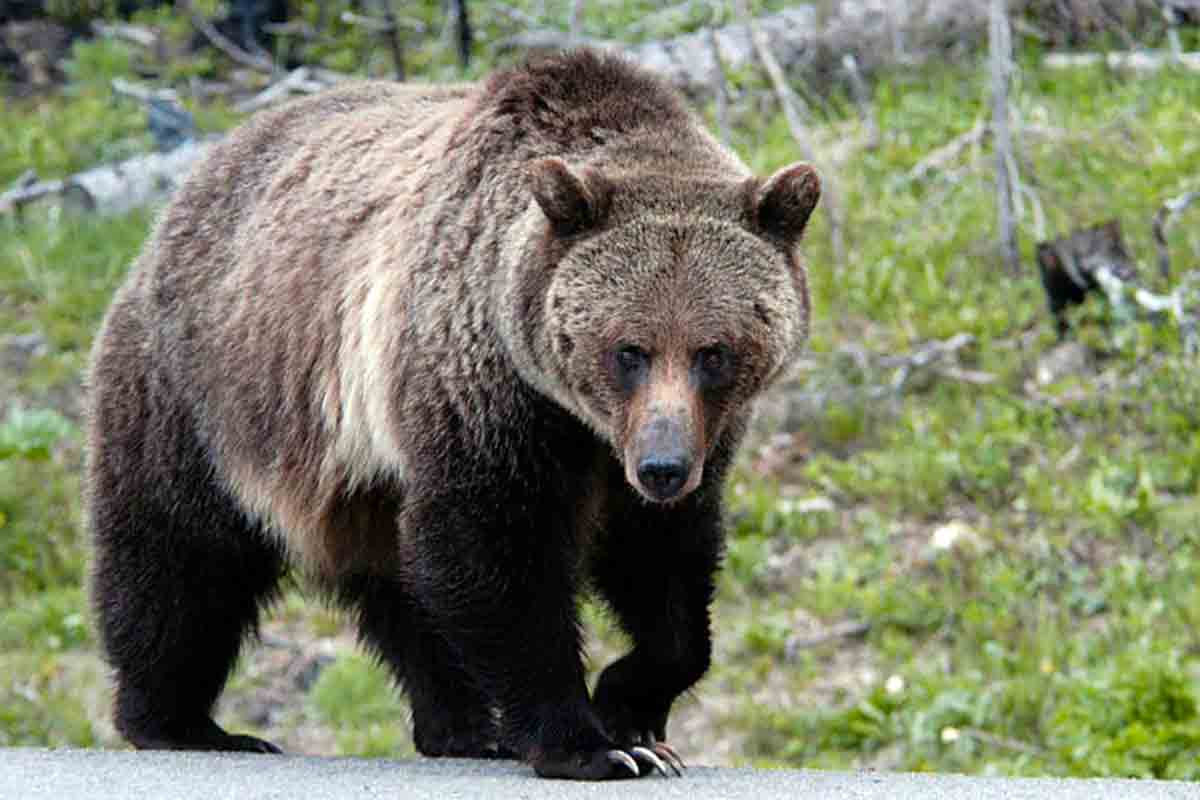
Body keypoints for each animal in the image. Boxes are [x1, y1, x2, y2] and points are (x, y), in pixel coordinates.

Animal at [85, 50, 819, 780]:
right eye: (628, 350)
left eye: (713, 352)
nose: (662, 467)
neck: (578, 419)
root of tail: (192, 184)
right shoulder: (484, 392)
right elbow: (494, 548)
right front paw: (591, 743)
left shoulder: (686, 438)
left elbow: (666, 564)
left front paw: (634, 713)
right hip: (201, 391)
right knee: (181, 556)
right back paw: (181, 722)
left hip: (357, 474)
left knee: (399, 587)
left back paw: (462, 726)